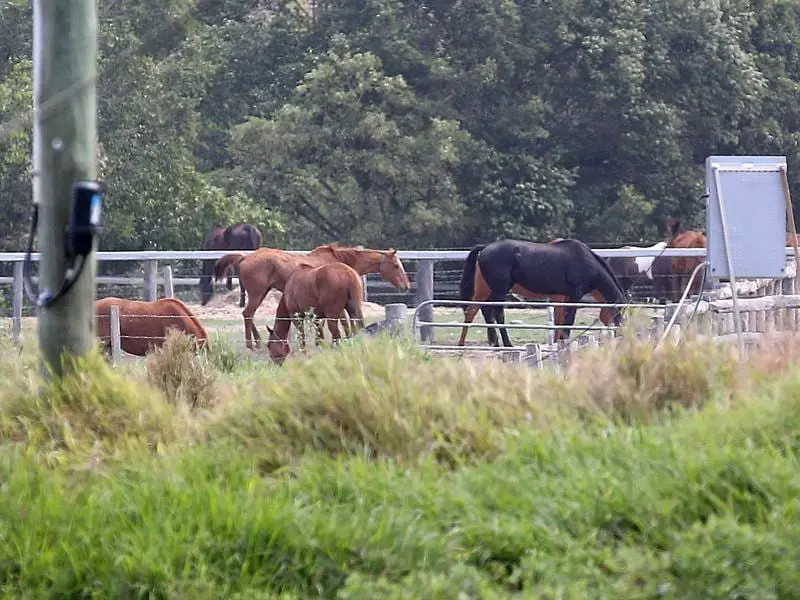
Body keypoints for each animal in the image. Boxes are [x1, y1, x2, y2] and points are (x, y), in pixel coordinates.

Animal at [212, 243, 412, 350]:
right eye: (396, 266)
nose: (406, 286)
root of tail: (244, 258)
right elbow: (339, 323)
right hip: (257, 293)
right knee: (248, 313)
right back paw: (252, 344)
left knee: (249, 314)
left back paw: (257, 341)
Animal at [456, 237, 624, 344]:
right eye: (619, 311)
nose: (621, 335)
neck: (585, 261)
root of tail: (485, 248)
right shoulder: (574, 294)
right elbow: (569, 319)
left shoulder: (563, 296)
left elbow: (561, 319)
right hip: (499, 290)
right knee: (496, 313)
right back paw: (506, 344)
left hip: (485, 289)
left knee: (475, 310)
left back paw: (485, 343)